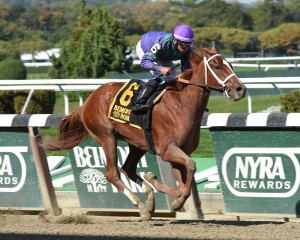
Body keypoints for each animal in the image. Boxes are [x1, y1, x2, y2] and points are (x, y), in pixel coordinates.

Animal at [45, 46, 246, 219]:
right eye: (217, 66)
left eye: (231, 65)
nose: (240, 89)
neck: (181, 105)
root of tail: (88, 101)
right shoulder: (167, 149)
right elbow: (190, 167)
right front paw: (176, 200)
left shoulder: (180, 151)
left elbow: (185, 181)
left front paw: (163, 189)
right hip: (106, 137)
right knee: (112, 173)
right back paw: (141, 206)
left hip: (137, 143)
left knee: (128, 168)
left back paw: (149, 200)